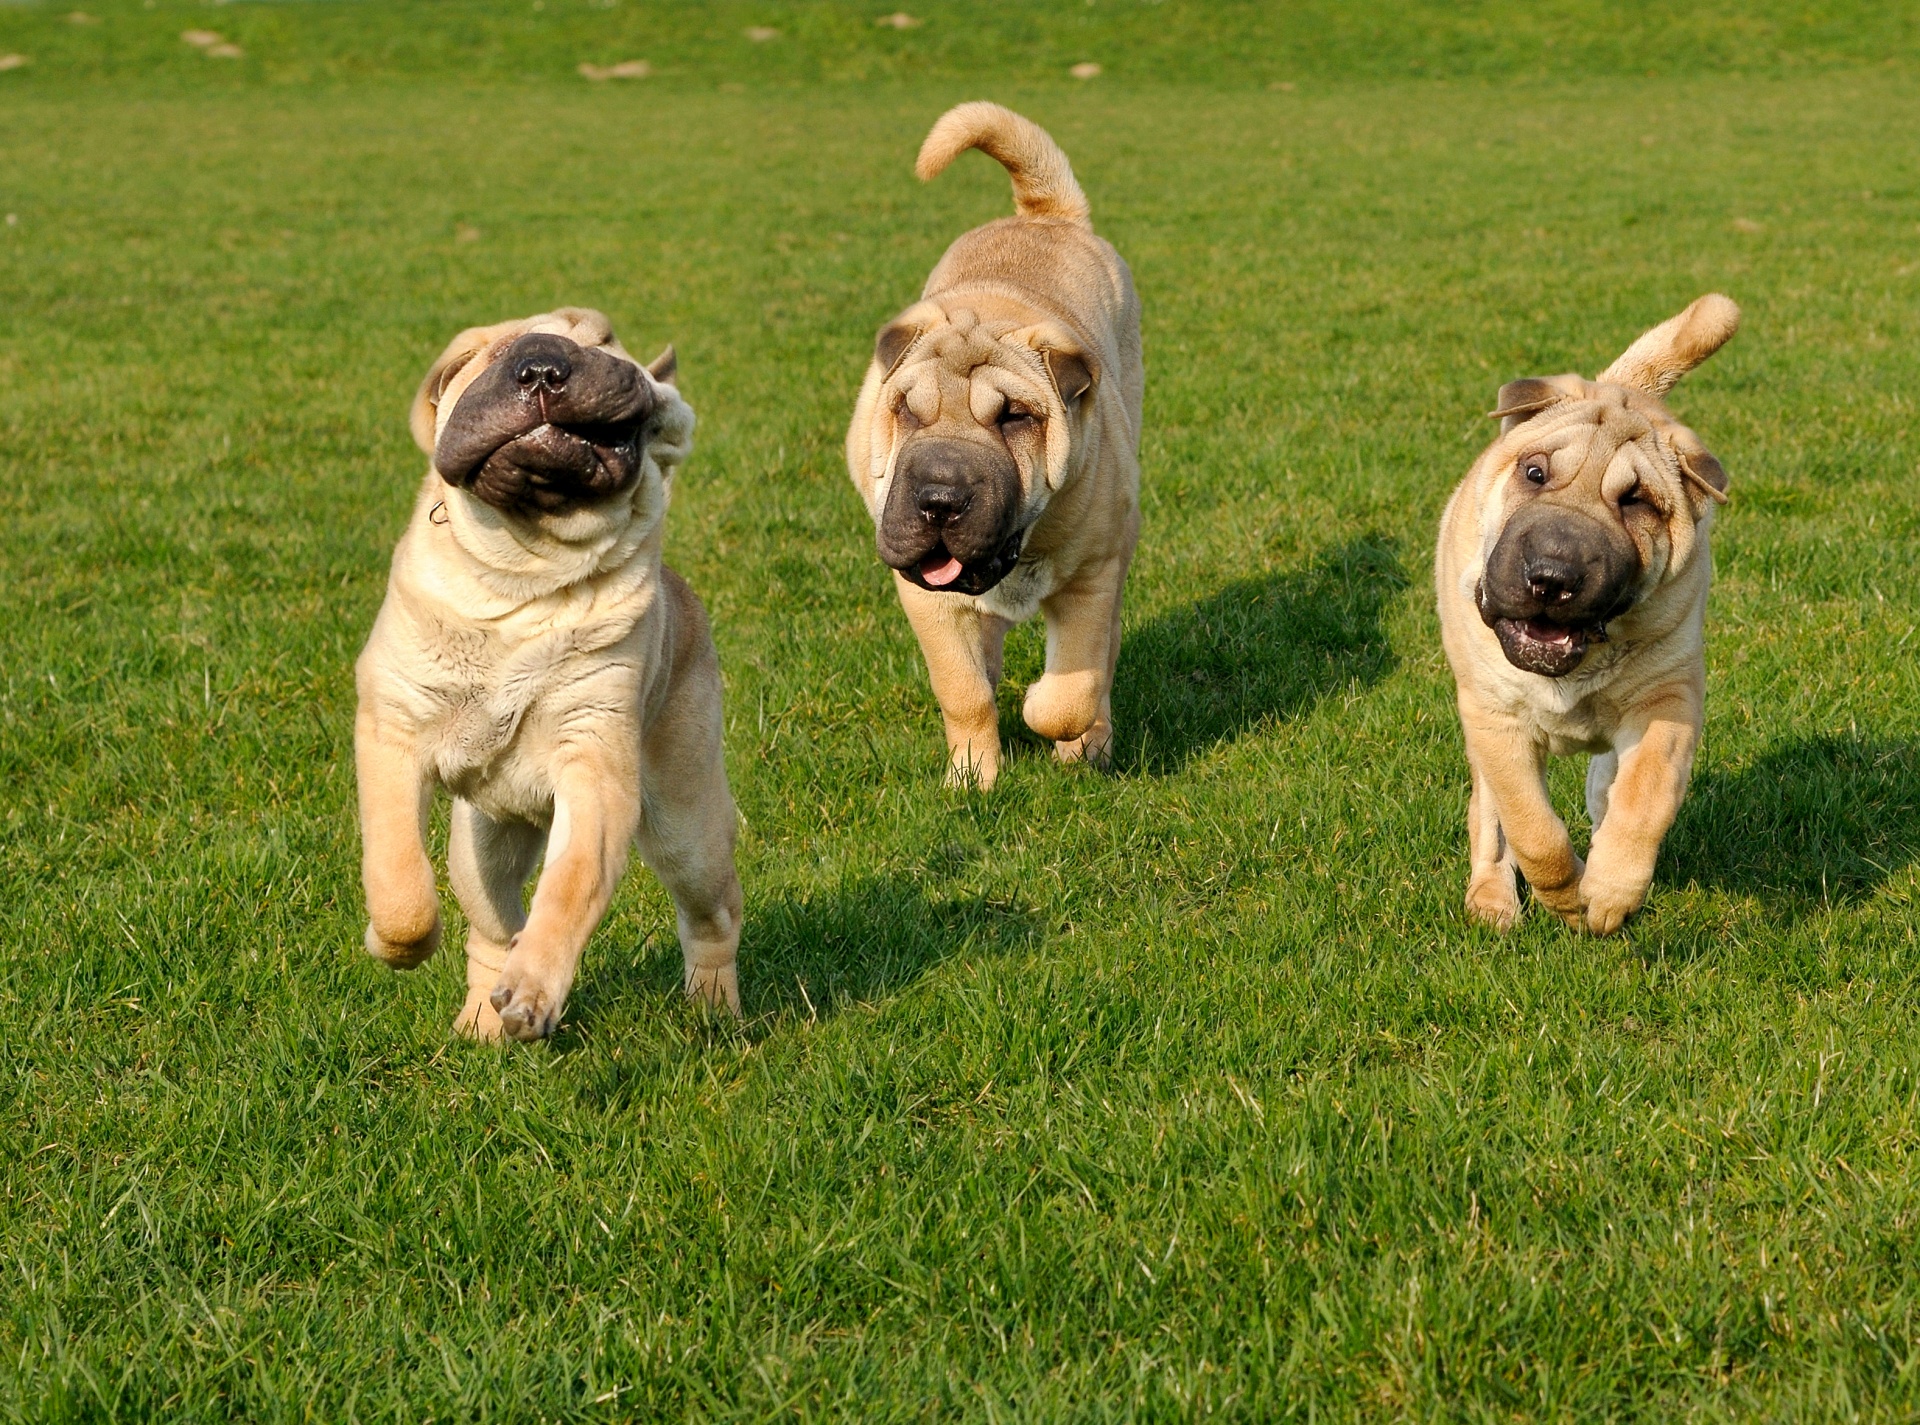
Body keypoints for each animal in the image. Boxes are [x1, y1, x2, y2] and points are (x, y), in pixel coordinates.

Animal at [353, 307, 741, 1044]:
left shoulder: (596, 766)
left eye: (604, 344)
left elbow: (570, 887)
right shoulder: (394, 730)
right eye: (491, 353)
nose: (540, 366)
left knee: (713, 917)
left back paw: (714, 1009)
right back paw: (480, 1020)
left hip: (687, 826)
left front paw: (535, 992)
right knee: (491, 930)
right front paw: (397, 946)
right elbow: (399, 878)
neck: (523, 578)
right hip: (481, 848)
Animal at [1443, 291, 1743, 937]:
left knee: (1607, 787)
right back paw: (1492, 899)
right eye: (1535, 472)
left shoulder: (1667, 701)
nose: (1552, 576)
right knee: (1489, 814)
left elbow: (1644, 798)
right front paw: (1566, 898)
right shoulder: (1495, 717)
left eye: (1637, 502)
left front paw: (1607, 893)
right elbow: (1532, 829)